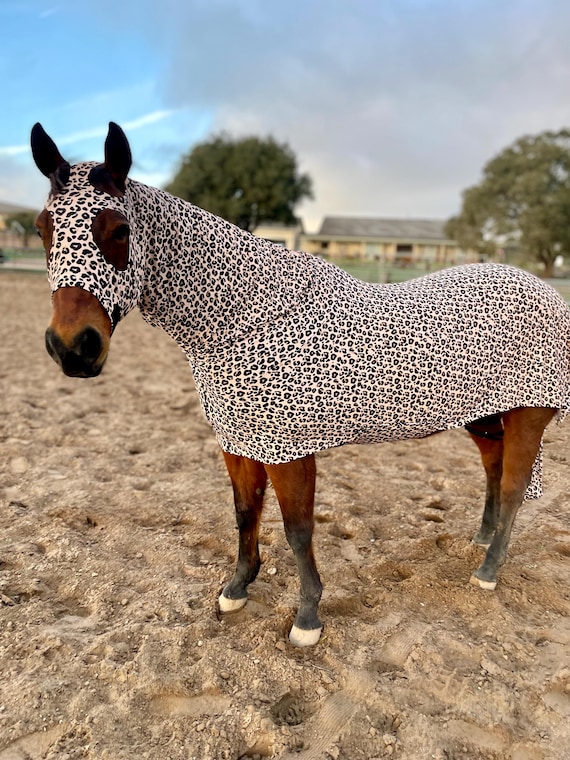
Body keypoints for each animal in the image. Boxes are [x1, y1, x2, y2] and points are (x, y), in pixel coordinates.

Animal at [31, 122, 570, 647]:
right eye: (42, 229)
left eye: (120, 230)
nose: (73, 348)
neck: (249, 319)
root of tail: (544, 289)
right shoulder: (239, 445)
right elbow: (245, 513)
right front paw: (237, 588)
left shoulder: (289, 452)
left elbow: (298, 530)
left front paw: (308, 616)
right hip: (485, 418)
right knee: (494, 474)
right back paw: (480, 541)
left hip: (526, 418)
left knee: (514, 487)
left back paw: (488, 570)